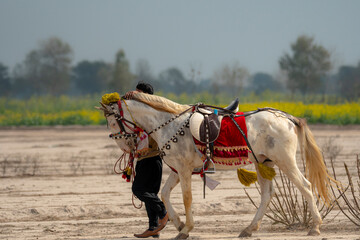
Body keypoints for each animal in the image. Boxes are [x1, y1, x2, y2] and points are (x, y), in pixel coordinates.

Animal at [97, 93, 334, 239]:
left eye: (112, 121)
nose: (126, 146)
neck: (170, 123)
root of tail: (286, 117)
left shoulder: (184, 170)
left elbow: (187, 198)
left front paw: (186, 229)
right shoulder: (178, 170)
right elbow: (163, 194)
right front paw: (178, 223)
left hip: (285, 161)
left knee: (306, 186)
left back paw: (315, 227)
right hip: (263, 163)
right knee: (267, 195)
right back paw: (249, 228)